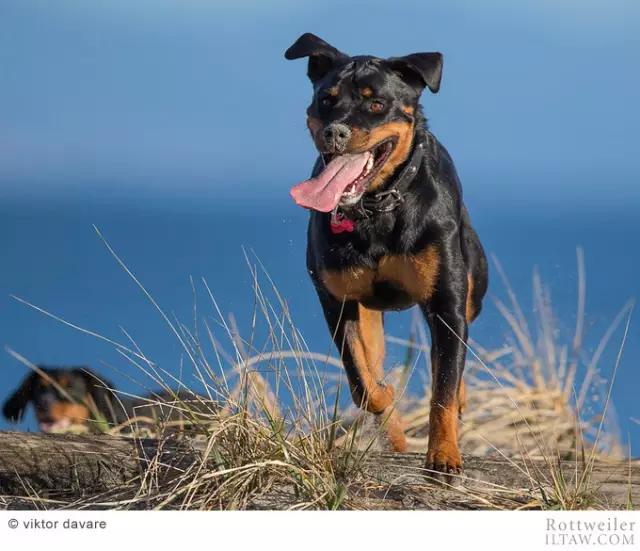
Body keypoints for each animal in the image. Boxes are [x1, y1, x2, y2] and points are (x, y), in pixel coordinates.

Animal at [288, 34, 488, 476]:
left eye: (376, 104)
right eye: (325, 99)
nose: (335, 131)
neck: (376, 207)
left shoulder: (446, 302)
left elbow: (443, 386)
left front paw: (443, 456)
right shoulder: (337, 299)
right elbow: (364, 382)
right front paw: (389, 408)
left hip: (474, 280)